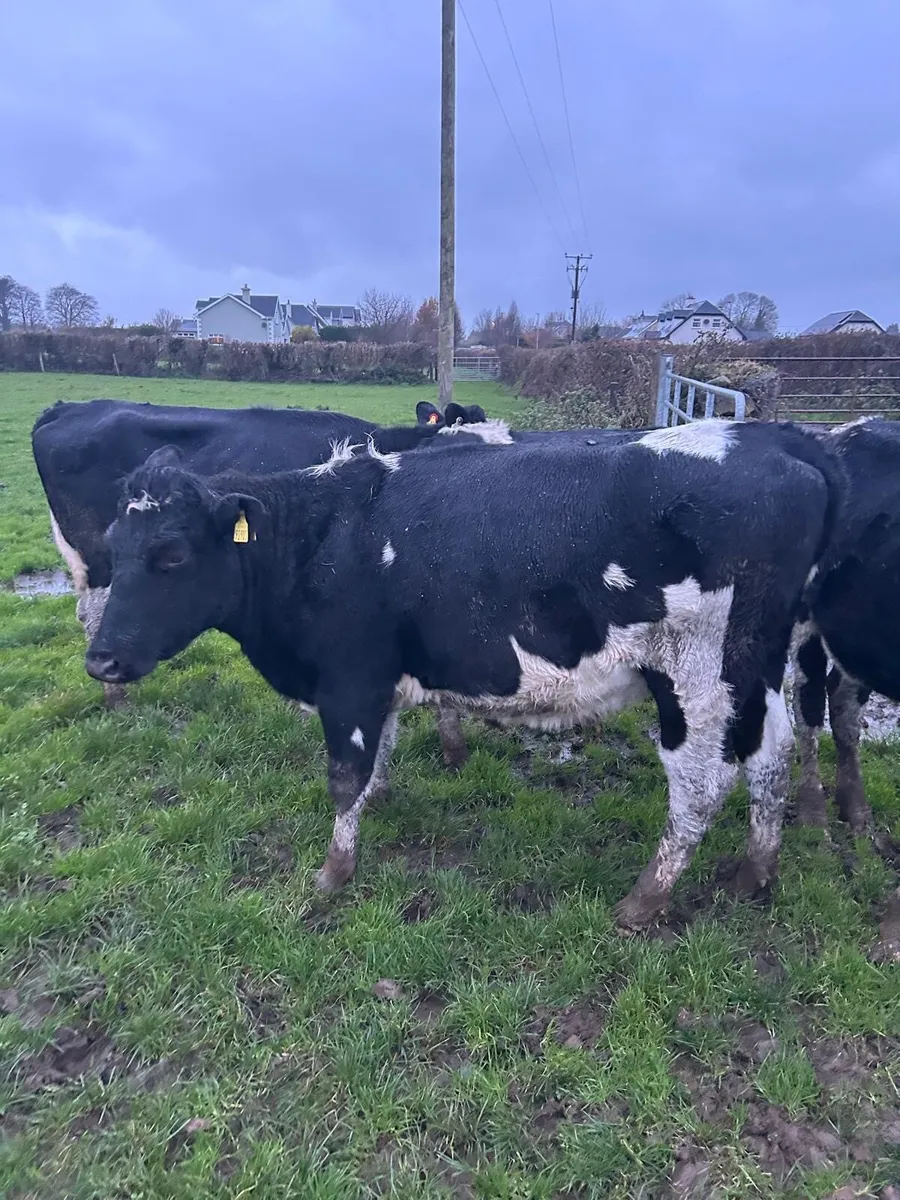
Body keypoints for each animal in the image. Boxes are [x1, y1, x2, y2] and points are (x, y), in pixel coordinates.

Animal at [82, 417, 845, 929]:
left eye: (173, 556)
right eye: (114, 545)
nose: (101, 659)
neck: (326, 537)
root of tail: (776, 439)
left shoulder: (348, 679)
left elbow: (344, 774)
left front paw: (334, 870)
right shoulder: (377, 683)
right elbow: (379, 753)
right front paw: (376, 805)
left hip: (697, 671)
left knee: (700, 784)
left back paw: (645, 897)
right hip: (755, 665)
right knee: (769, 757)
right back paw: (757, 871)